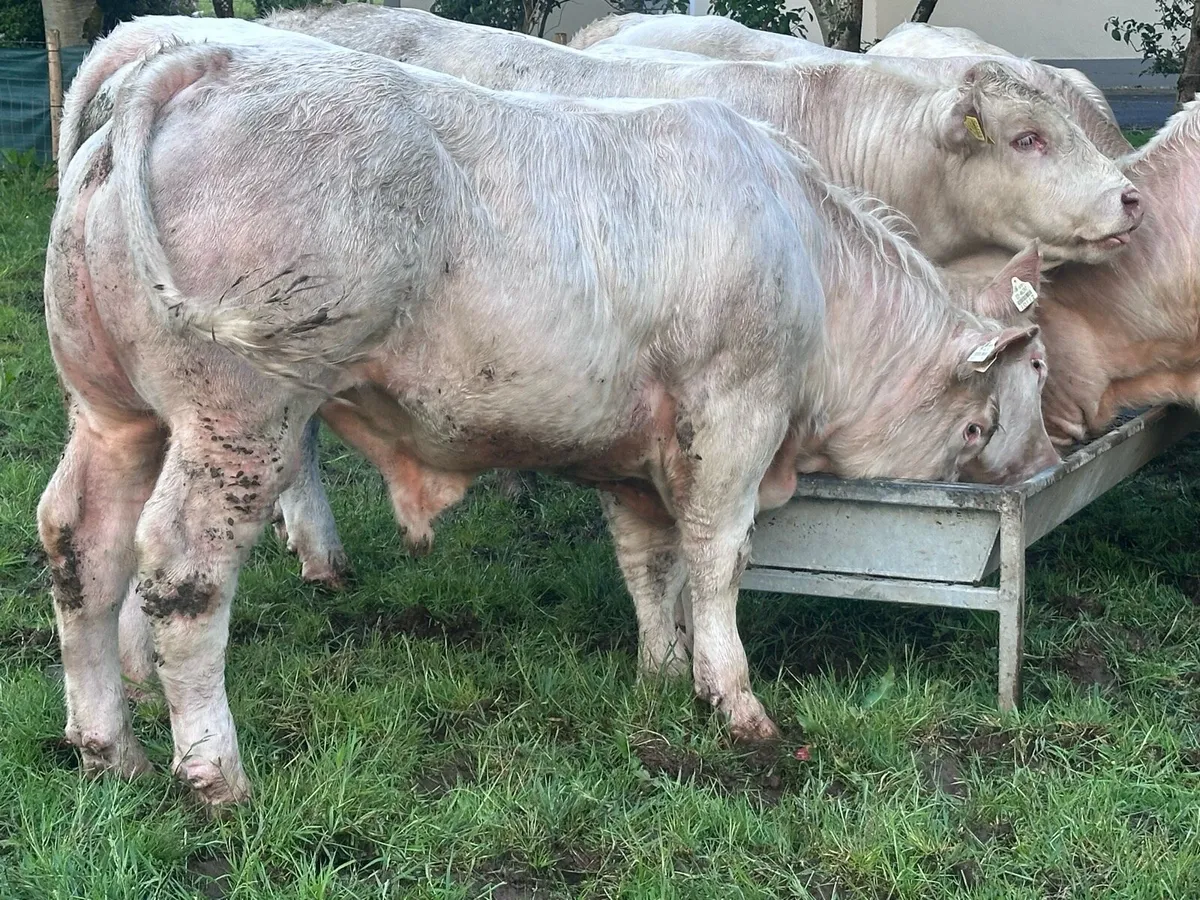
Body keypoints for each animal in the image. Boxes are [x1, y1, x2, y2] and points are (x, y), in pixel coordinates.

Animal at [43, 39, 1041, 803]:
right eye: (978, 428)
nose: (1021, 474)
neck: (806, 253)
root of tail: (199, 65)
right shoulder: (735, 413)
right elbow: (718, 558)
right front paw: (735, 700)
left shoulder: (635, 453)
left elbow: (650, 561)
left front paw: (661, 672)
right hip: (238, 414)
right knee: (180, 570)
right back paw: (215, 773)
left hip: (113, 414)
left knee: (81, 545)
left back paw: (111, 751)